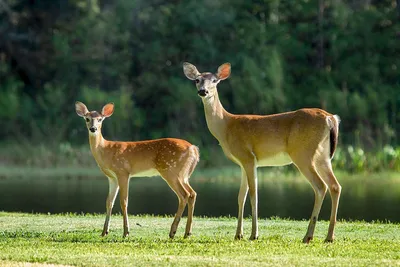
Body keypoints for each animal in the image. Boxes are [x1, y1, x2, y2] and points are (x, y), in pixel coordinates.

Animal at [74, 102, 198, 239]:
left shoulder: (123, 172)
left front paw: (126, 232)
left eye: (100, 119)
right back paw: (187, 233)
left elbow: (124, 201)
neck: (106, 151)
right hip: (183, 175)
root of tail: (194, 149)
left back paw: (173, 232)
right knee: (192, 193)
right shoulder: (112, 177)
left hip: (170, 170)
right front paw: (104, 232)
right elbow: (109, 201)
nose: (93, 129)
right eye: (87, 119)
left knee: (184, 195)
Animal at [183, 62, 342, 243]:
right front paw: (238, 234)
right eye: (197, 80)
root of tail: (330, 118)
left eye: (215, 81)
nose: (203, 91)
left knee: (321, 186)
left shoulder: (248, 157)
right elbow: (241, 197)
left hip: (303, 154)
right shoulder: (242, 163)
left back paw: (308, 236)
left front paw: (254, 234)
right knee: (335, 186)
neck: (226, 126)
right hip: (323, 156)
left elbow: (254, 195)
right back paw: (329, 236)